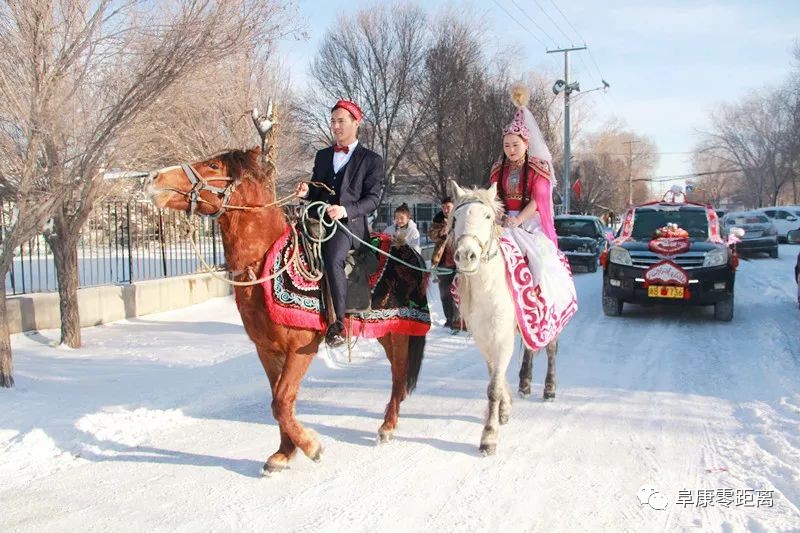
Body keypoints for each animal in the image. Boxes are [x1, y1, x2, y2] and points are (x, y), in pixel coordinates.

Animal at [147, 147, 428, 474]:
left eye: (213, 165)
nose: (154, 178)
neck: (266, 265)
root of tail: (409, 252)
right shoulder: (268, 350)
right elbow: (279, 400)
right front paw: (283, 453)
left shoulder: (301, 348)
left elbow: (281, 401)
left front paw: (311, 446)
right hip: (386, 333)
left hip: (398, 330)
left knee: (398, 375)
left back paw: (388, 427)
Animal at [446, 180, 560, 454]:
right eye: (455, 217)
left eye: (488, 216)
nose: (466, 255)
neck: (489, 288)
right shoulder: (484, 339)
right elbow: (494, 378)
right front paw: (505, 410)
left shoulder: (502, 339)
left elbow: (494, 388)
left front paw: (489, 436)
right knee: (529, 349)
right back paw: (525, 384)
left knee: (551, 350)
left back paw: (549, 389)